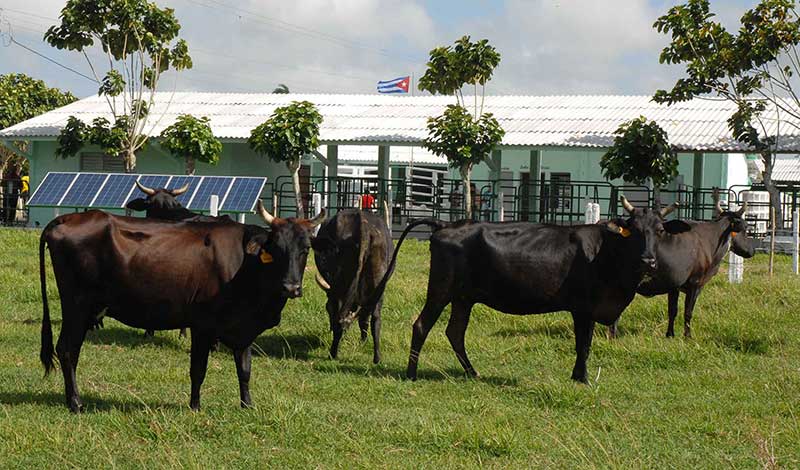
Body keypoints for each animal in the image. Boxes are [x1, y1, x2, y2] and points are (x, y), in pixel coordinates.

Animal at [37, 202, 324, 412]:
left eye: (305, 249)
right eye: (276, 249)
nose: (291, 287)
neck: (244, 265)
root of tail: (67, 219)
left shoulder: (243, 330)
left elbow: (244, 370)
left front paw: (247, 405)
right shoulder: (202, 326)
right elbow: (198, 370)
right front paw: (195, 406)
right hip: (76, 306)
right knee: (67, 350)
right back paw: (75, 403)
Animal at [312, 201, 394, 364]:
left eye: (326, 308)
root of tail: (363, 225)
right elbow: (364, 317)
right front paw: (363, 340)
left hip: (339, 285)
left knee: (342, 317)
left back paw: (333, 353)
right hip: (378, 284)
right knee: (375, 318)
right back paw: (377, 358)